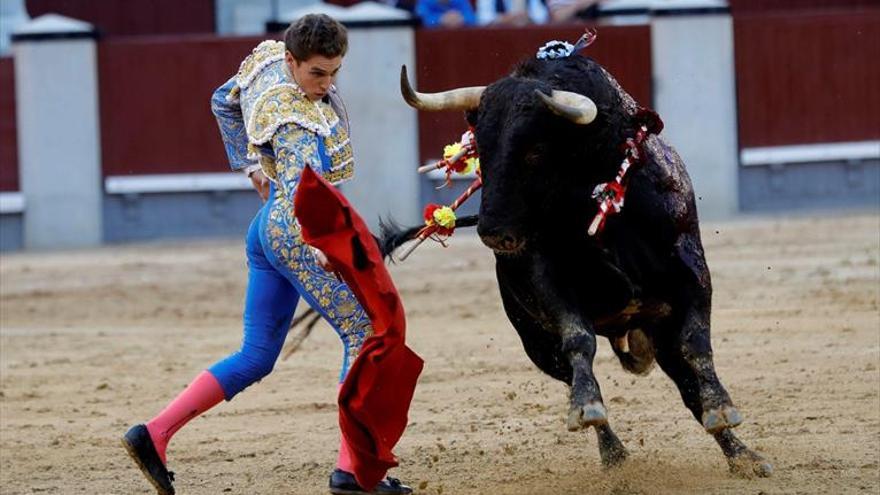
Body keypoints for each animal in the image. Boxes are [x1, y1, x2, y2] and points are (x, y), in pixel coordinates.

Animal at [396, 55, 772, 480]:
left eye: (535, 151)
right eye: (482, 151)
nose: (493, 231)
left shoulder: (690, 270)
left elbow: (696, 343)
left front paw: (722, 408)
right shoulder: (546, 276)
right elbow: (578, 339)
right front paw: (586, 407)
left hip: (658, 331)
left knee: (688, 388)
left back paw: (744, 456)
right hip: (536, 343)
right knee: (574, 372)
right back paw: (615, 455)